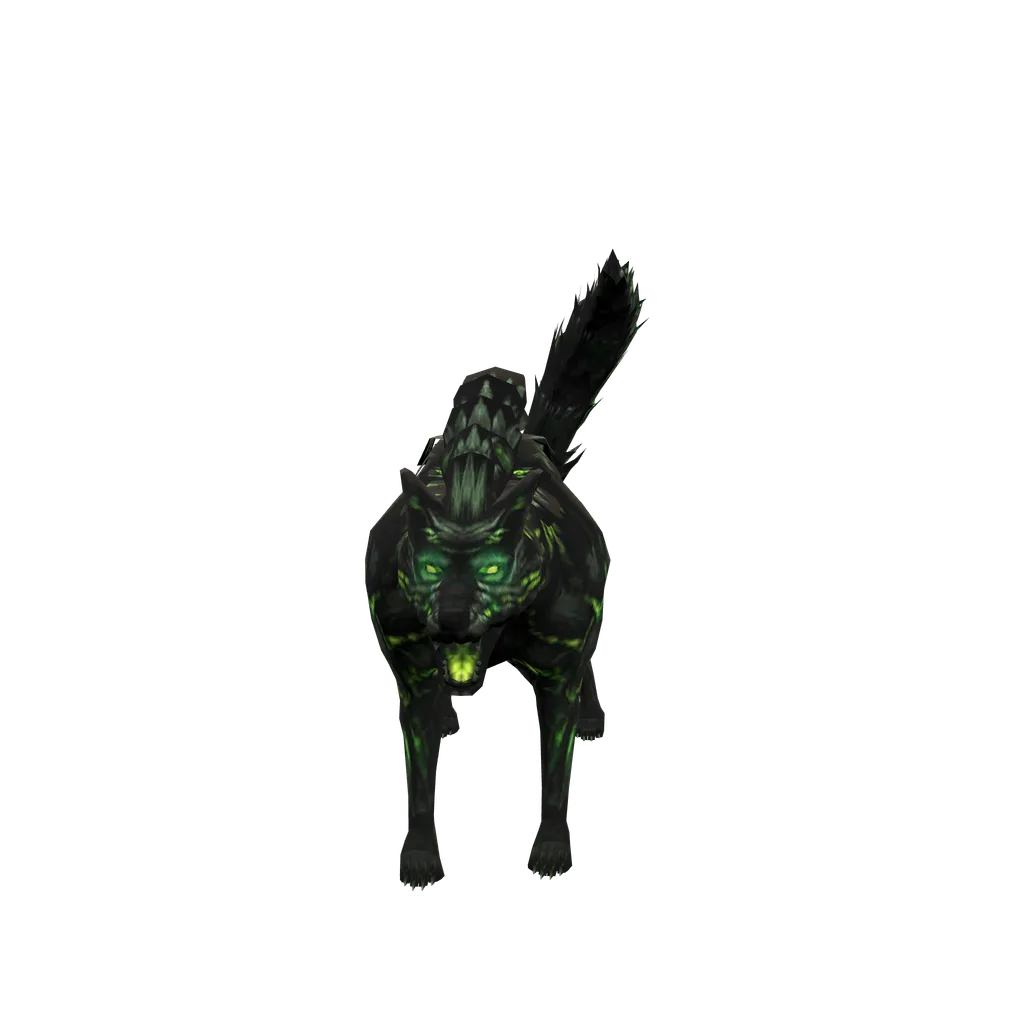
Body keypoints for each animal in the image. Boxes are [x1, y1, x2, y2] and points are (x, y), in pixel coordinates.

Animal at [363, 251, 646, 889]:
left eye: (494, 565)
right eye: (430, 564)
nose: (451, 616)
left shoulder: (557, 671)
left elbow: (553, 773)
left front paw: (551, 849)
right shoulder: (410, 664)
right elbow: (420, 778)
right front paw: (420, 856)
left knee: (589, 663)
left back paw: (592, 716)